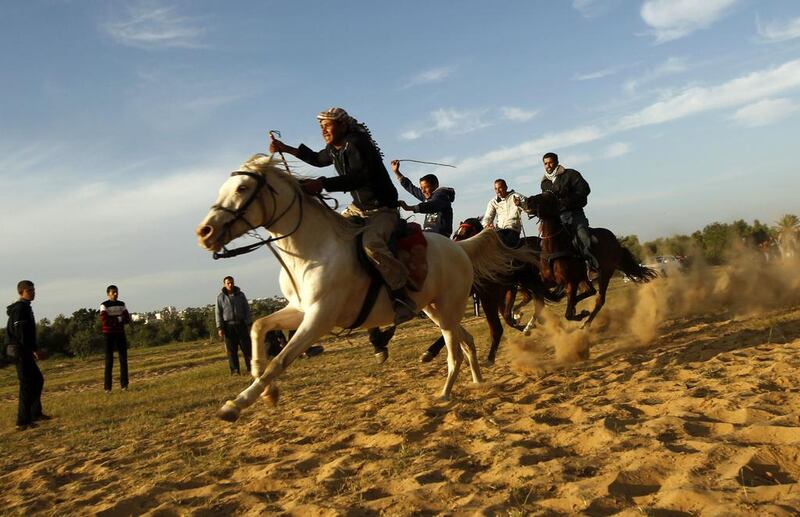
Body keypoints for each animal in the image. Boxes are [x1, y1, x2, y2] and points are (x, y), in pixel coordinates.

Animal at [196, 153, 536, 420]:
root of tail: (461, 247)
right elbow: (258, 328)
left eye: (242, 188)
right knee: (466, 341)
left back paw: (445, 393)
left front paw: (236, 405)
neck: (314, 250)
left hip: (449, 308)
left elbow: (281, 359)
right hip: (436, 310)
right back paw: (478, 381)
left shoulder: (319, 319)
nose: (205, 232)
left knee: (455, 352)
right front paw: (266, 391)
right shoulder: (300, 310)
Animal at [524, 189, 656, 326]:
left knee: (600, 299)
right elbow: (547, 295)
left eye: (547, 198)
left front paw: (580, 314)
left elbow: (568, 314)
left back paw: (586, 324)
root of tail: (617, 244)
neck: (555, 248)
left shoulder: (571, 282)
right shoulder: (547, 281)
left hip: (605, 274)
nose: (527, 201)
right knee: (591, 291)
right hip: (586, 278)